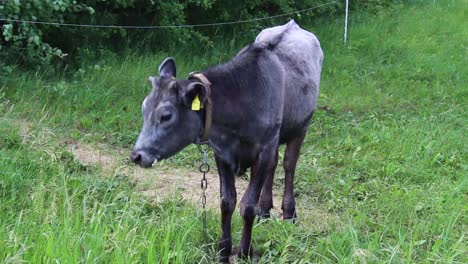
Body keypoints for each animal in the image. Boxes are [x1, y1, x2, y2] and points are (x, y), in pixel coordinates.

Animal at [130, 20, 324, 262]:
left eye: (166, 116)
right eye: (144, 108)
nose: (137, 155)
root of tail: (293, 24)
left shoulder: (263, 149)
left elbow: (247, 206)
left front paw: (244, 251)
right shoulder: (222, 152)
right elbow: (227, 201)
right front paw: (223, 250)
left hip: (301, 126)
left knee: (289, 164)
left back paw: (289, 212)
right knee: (274, 165)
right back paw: (265, 209)